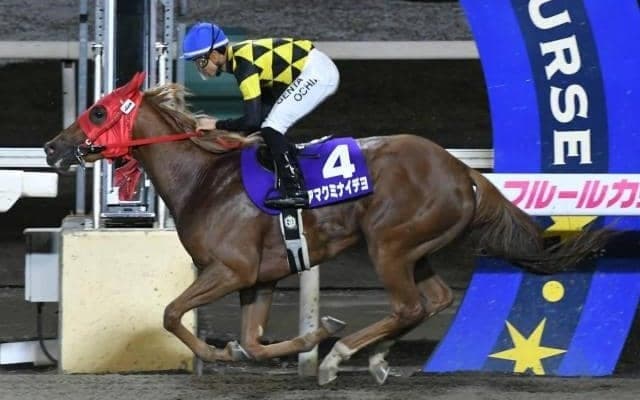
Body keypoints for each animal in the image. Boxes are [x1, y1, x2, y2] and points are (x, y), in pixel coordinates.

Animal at [44, 72, 611, 385]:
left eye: (98, 112)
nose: (52, 147)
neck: (203, 179)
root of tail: (462, 171)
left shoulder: (229, 270)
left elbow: (170, 314)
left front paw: (225, 350)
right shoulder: (260, 278)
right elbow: (253, 342)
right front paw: (300, 337)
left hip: (389, 243)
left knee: (410, 305)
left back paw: (341, 356)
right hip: (418, 247)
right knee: (436, 299)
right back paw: (372, 355)